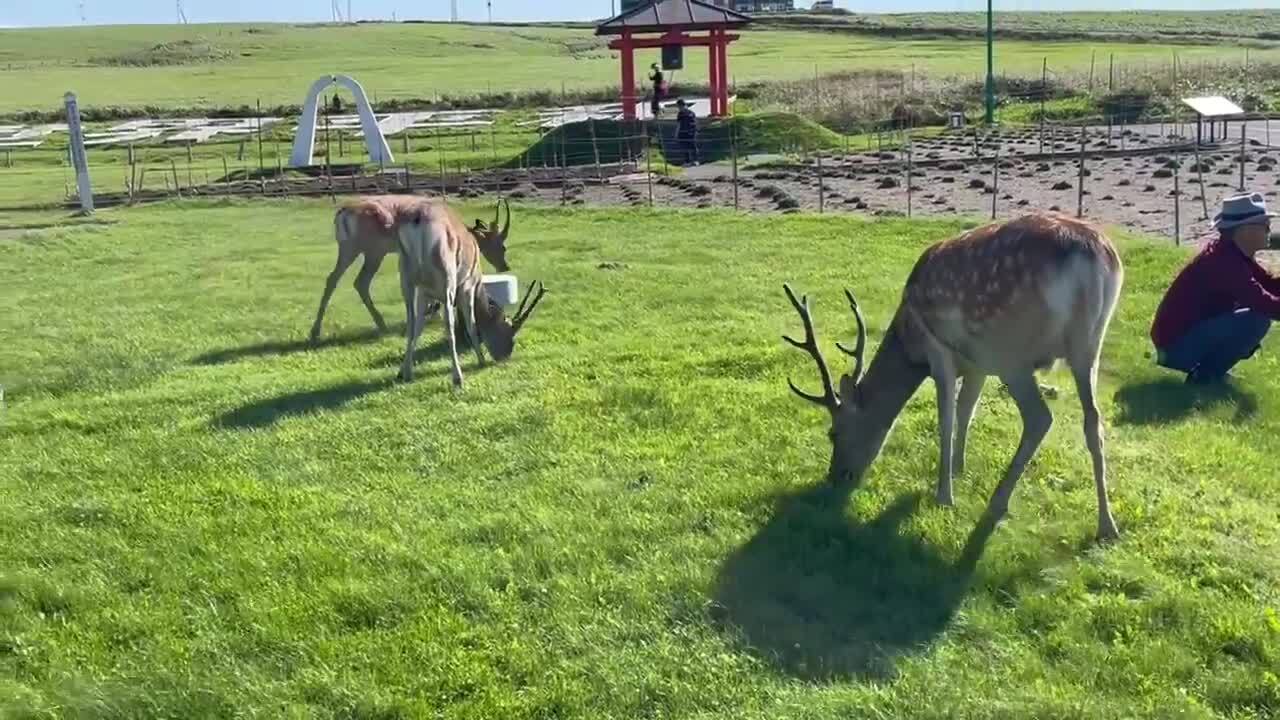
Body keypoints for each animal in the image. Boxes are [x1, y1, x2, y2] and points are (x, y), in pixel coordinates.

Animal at [307, 196, 512, 340]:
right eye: (502, 246)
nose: (505, 265)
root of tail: (342, 213)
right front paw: (433, 312)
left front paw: (431, 311)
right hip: (370, 251)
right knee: (356, 281)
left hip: (354, 249)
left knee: (340, 279)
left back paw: (317, 331)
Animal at [394, 196, 545, 386]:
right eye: (508, 331)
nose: (505, 355)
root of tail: (419, 220)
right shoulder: (468, 286)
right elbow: (471, 322)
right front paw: (481, 359)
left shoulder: (424, 292)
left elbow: (418, 326)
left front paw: (403, 372)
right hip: (447, 280)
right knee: (449, 324)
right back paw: (458, 377)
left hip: (406, 279)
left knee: (411, 321)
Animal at [783, 211, 1126, 538]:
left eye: (833, 432)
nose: (836, 477)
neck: (910, 344)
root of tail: (1091, 256)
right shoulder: (977, 364)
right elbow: (966, 411)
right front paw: (960, 469)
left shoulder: (940, 353)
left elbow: (945, 420)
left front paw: (944, 495)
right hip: (1089, 345)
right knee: (1093, 420)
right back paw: (1107, 525)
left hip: (1011, 351)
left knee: (1040, 418)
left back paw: (998, 503)